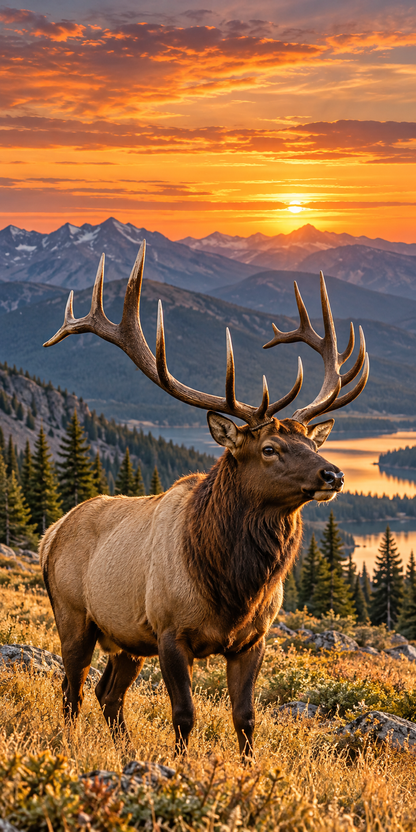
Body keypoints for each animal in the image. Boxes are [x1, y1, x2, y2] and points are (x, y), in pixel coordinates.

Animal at [40, 242, 369, 760]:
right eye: (269, 448)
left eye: (310, 442)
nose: (333, 473)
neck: (233, 588)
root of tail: (50, 535)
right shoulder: (170, 632)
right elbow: (184, 715)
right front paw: (179, 765)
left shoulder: (253, 639)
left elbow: (246, 718)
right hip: (74, 615)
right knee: (71, 689)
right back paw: (72, 745)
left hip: (126, 638)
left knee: (107, 693)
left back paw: (125, 749)